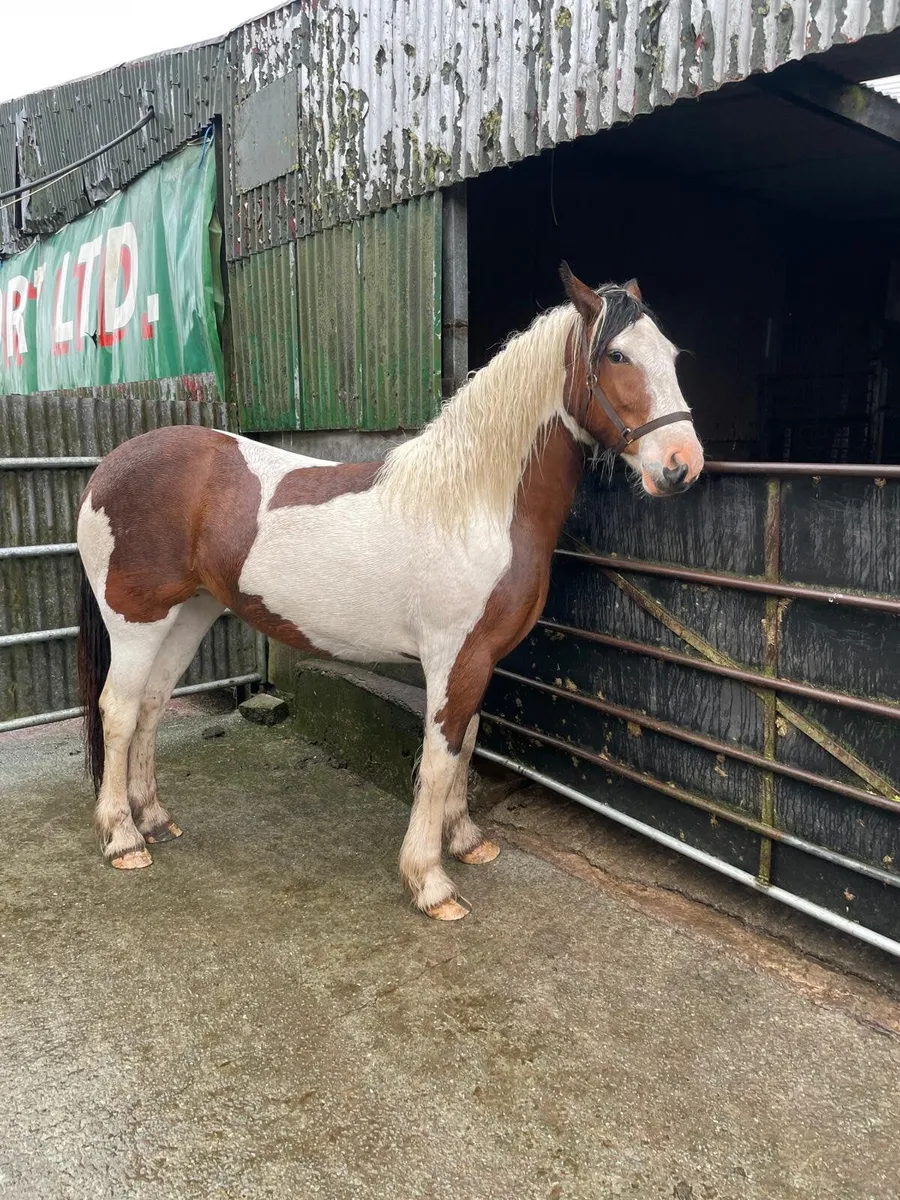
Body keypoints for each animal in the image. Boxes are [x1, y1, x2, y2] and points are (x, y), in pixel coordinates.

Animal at [76, 266, 704, 920]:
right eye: (616, 355)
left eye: (672, 355)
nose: (682, 464)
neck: (475, 505)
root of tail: (107, 468)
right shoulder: (454, 660)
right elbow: (441, 758)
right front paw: (430, 882)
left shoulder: (478, 661)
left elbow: (467, 744)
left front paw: (466, 841)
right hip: (135, 621)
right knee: (118, 710)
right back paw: (122, 838)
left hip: (190, 612)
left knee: (152, 704)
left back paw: (154, 819)